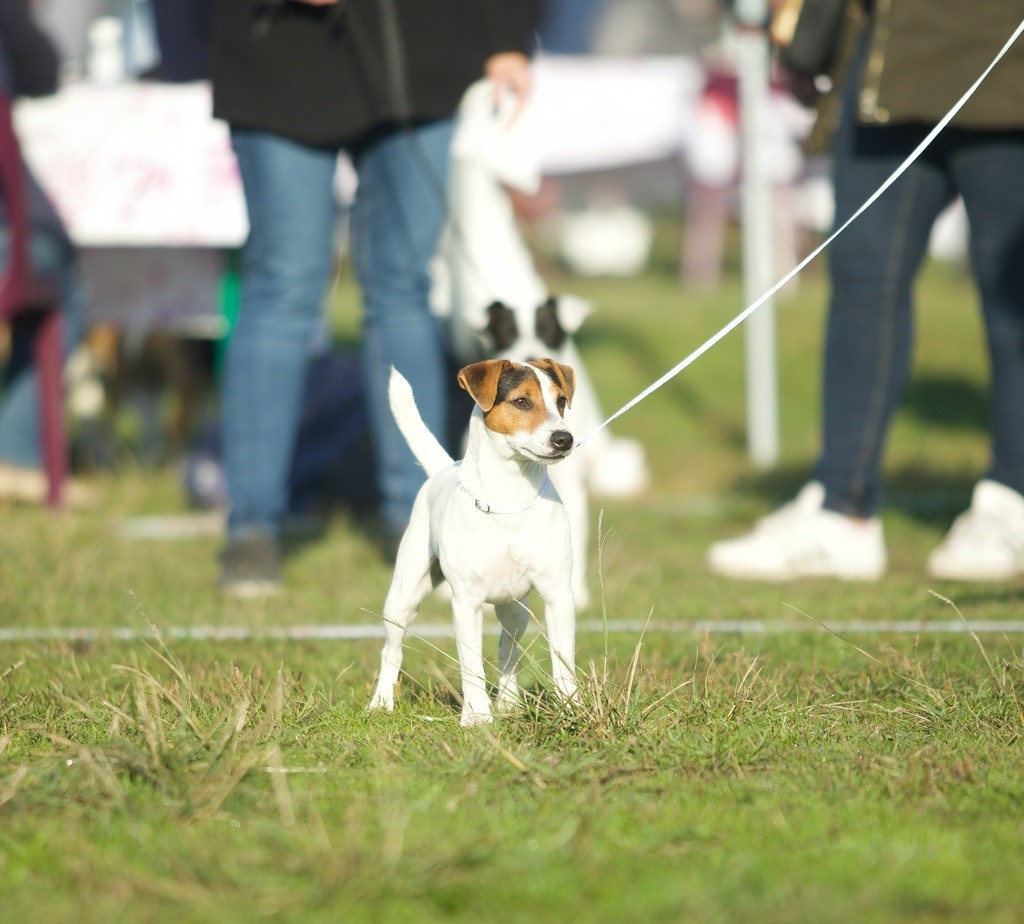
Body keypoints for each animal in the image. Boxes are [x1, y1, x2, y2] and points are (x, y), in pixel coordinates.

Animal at [366, 358, 577, 725]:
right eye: (522, 402)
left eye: (561, 401)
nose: (564, 438)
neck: (510, 497)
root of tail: (445, 468)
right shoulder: (466, 603)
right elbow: (471, 666)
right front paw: (477, 717)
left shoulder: (558, 595)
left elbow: (562, 659)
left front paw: (571, 708)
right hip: (403, 598)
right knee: (391, 650)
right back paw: (381, 703)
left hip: (515, 610)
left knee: (508, 652)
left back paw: (509, 703)